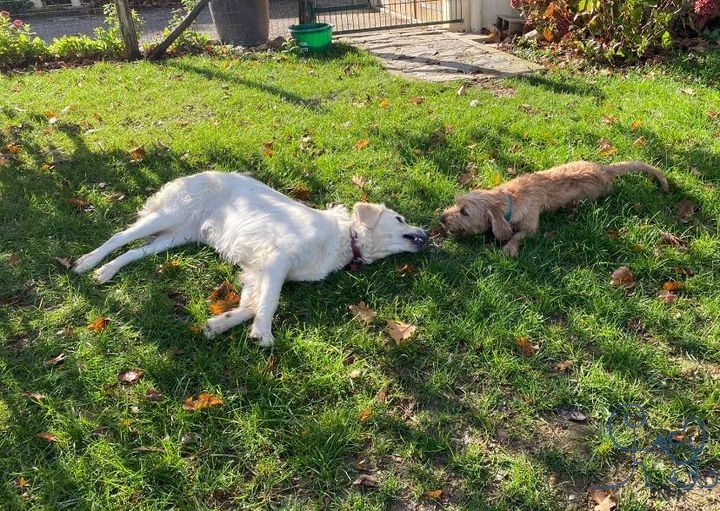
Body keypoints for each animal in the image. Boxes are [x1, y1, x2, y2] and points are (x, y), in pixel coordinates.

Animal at [73, 173, 428, 348]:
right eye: (399, 219)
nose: (426, 233)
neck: (344, 238)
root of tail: (197, 172)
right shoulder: (276, 260)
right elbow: (268, 303)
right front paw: (263, 334)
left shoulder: (257, 270)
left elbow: (250, 305)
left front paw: (219, 323)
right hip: (169, 216)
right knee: (119, 237)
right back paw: (87, 263)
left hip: (176, 237)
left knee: (133, 251)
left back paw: (106, 271)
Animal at [438, 160, 668, 256]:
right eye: (456, 204)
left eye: (464, 212)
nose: (441, 218)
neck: (510, 199)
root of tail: (604, 169)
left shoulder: (531, 226)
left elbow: (518, 235)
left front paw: (510, 247)